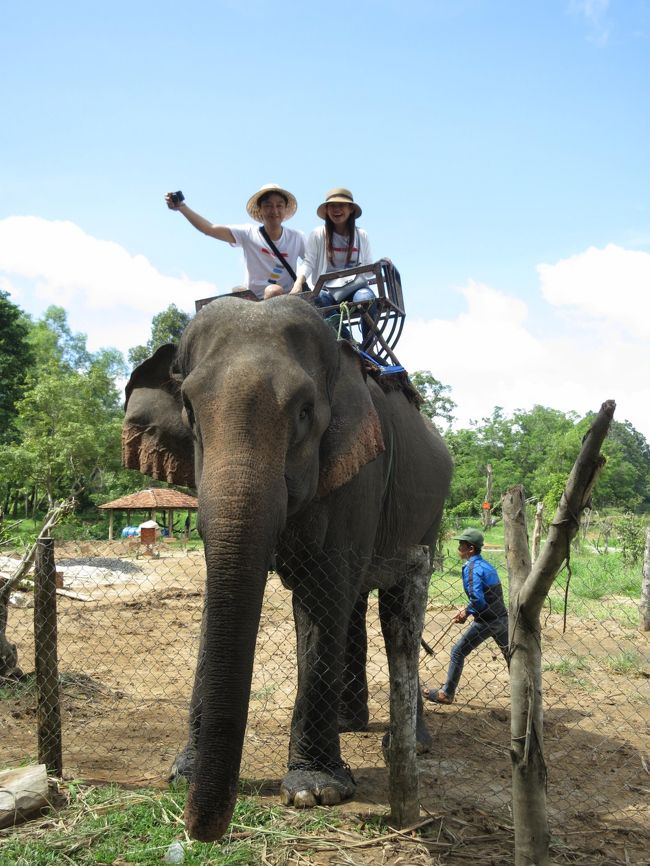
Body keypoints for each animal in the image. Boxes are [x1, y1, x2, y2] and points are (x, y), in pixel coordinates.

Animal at [121, 296, 448, 836]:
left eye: (305, 411)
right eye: (189, 410)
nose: (194, 828)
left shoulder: (360, 472)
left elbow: (321, 593)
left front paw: (316, 791)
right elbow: (217, 599)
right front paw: (181, 772)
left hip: (430, 515)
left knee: (393, 607)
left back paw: (412, 743)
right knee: (355, 605)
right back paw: (349, 724)